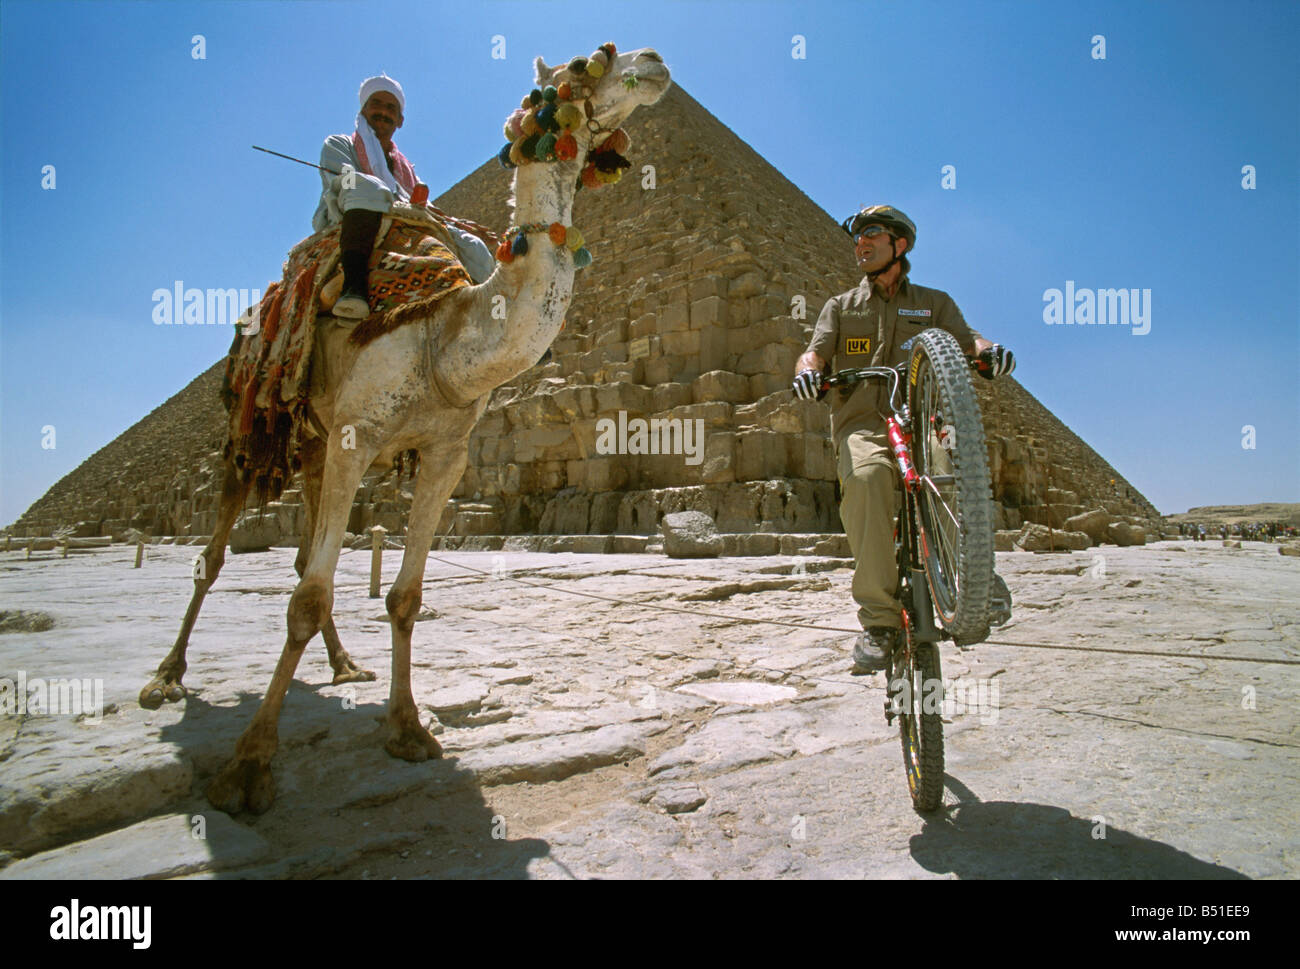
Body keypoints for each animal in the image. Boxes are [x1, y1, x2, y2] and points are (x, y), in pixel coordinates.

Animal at [139, 49, 670, 811]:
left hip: (312, 444)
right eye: (581, 64)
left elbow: (404, 597)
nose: (654, 62)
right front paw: (248, 767)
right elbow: (307, 599)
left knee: (302, 554)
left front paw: (409, 727)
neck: (447, 333)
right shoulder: (359, 435)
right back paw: (166, 676)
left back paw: (343, 665)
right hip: (251, 428)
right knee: (215, 557)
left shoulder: (444, 455)